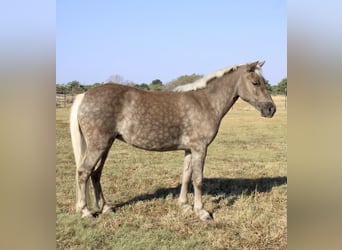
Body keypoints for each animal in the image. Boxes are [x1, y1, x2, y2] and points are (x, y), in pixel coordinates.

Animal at [69, 61, 276, 221]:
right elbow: (198, 180)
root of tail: (84, 96)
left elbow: (186, 176)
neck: (206, 102)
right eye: (255, 82)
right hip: (98, 145)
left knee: (95, 174)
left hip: (106, 145)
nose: (271, 109)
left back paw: (105, 208)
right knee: (83, 172)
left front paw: (184, 205)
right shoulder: (200, 148)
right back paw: (85, 211)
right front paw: (202, 212)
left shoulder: (189, 149)